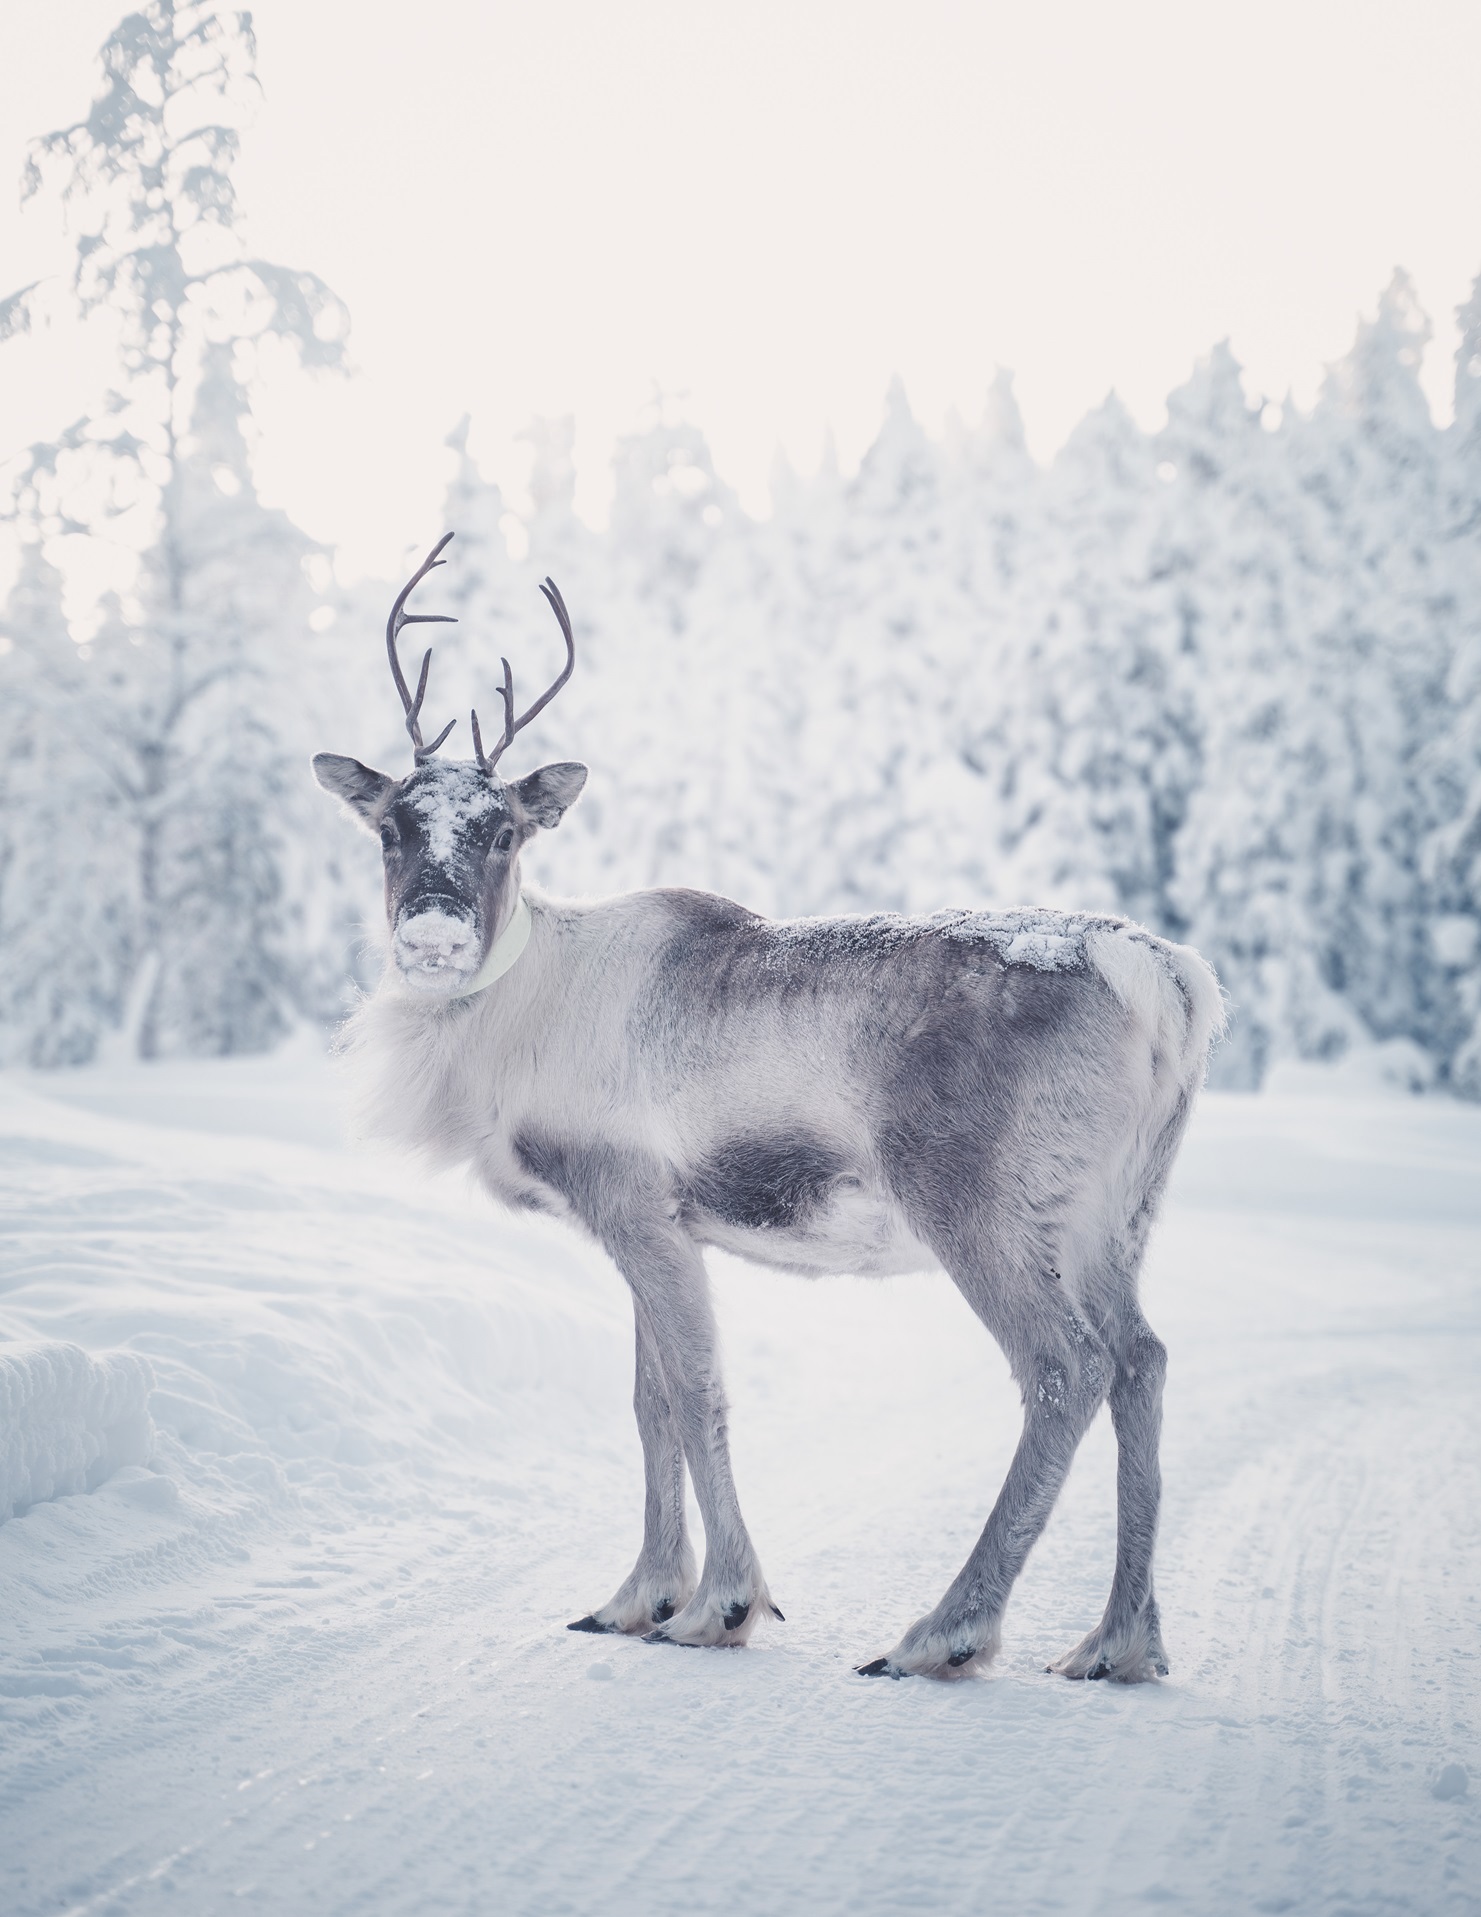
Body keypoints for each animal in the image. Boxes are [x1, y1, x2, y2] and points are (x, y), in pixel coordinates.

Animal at [312, 534, 1224, 1681]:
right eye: (390, 826)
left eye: (503, 832)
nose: (432, 934)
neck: (512, 1020)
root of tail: (1170, 979)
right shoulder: (655, 1220)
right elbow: (649, 1401)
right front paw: (637, 1596)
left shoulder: (632, 1203)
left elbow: (697, 1392)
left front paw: (722, 1603)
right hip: (1116, 1212)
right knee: (1143, 1358)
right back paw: (1117, 1641)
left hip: (979, 1201)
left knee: (1067, 1367)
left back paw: (942, 1632)